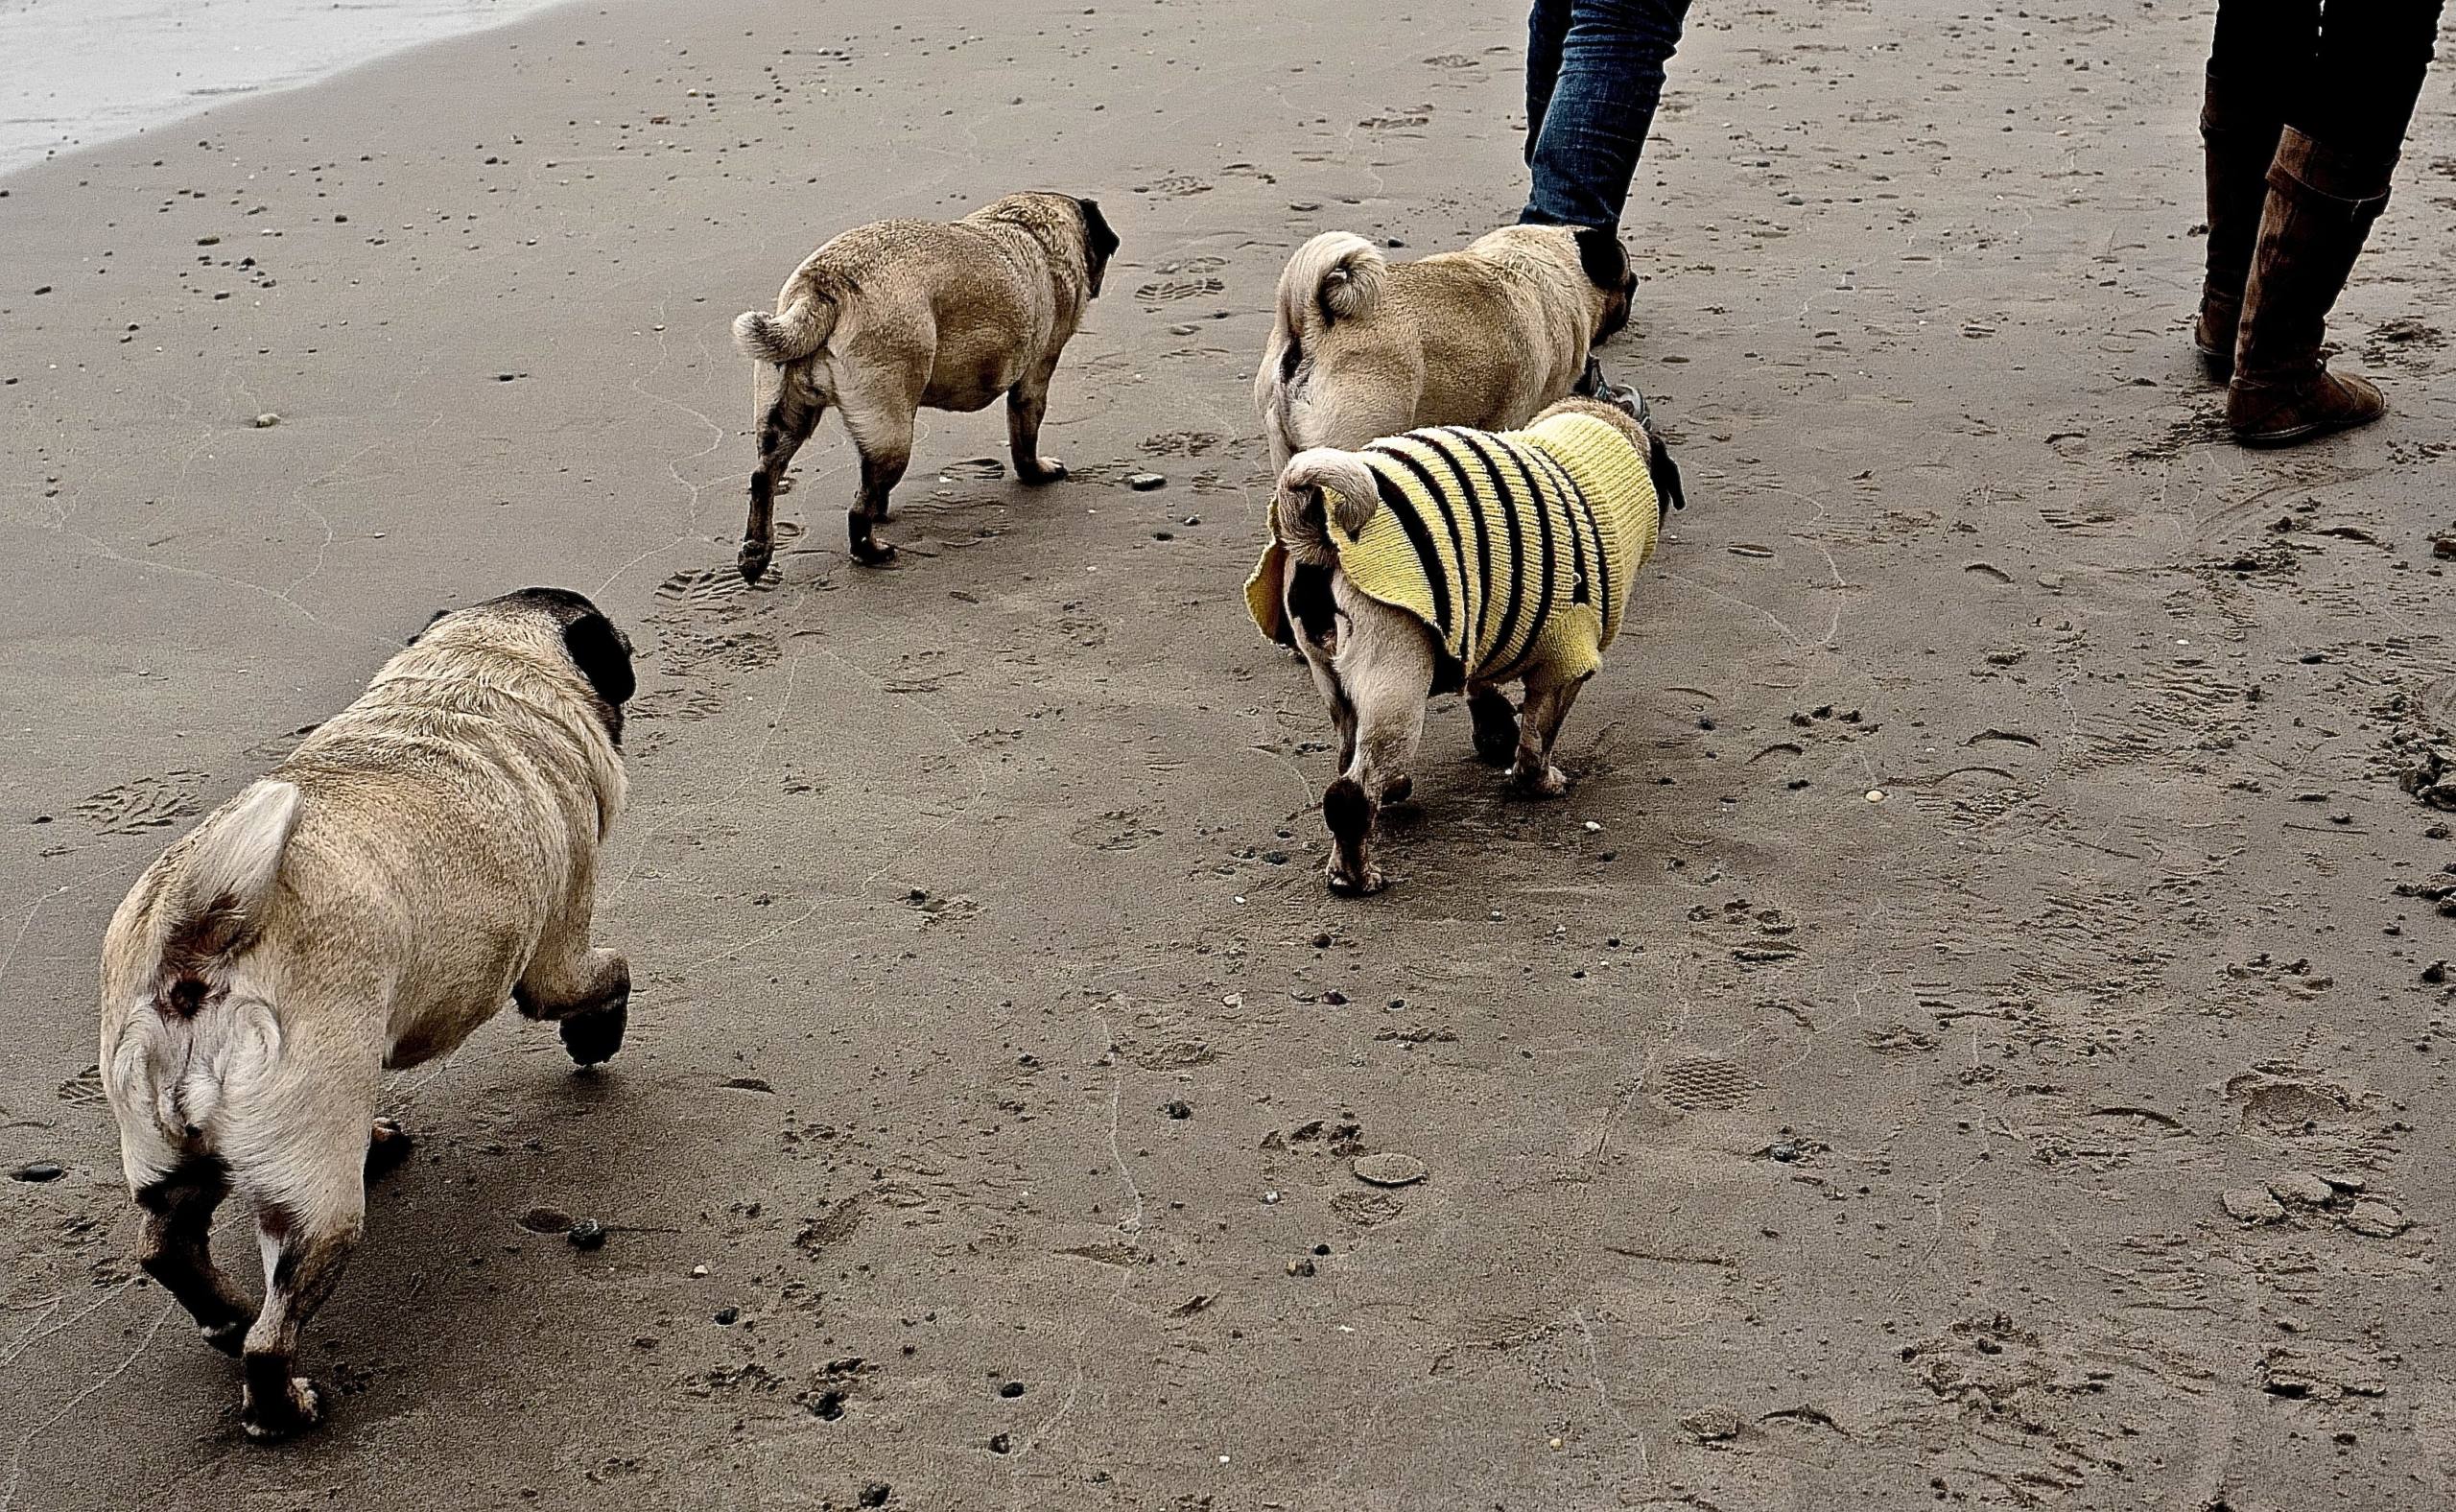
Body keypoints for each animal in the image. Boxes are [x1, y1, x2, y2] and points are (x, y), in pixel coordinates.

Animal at [97, 583, 638, 1433]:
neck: (473, 677)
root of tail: (195, 945)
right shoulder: (556, 956)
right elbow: (608, 972)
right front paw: (596, 1034)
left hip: (178, 1153)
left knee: (167, 1247)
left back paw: (226, 1312)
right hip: (317, 1198)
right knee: (273, 1334)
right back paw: (281, 1404)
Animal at [721, 194, 1120, 579]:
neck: (1029, 225)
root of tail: (824, 286)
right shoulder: (1035, 378)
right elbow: (1025, 441)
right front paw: (1038, 472)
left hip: (786, 416)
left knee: (766, 477)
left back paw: (756, 554)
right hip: (893, 431)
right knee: (858, 509)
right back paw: (870, 550)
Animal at [1257, 394, 1680, 898]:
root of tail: (1320, 536)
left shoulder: (1477, 626)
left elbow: (1484, 691)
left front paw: (1496, 732)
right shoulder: (1565, 665)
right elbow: (1539, 737)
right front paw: (1538, 781)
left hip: (1336, 682)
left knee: (1350, 750)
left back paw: (1389, 792)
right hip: (1396, 688)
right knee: (1351, 794)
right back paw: (1355, 874)